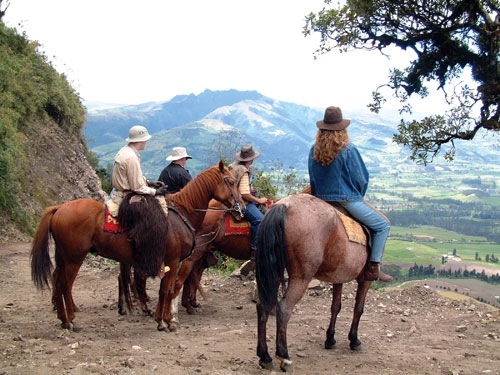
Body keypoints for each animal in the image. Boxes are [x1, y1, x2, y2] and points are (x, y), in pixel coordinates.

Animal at [29, 162, 244, 332]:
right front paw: (167, 322)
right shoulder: (173, 261)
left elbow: (163, 290)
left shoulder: (166, 263)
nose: (240, 207)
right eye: (230, 181)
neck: (182, 212)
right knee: (66, 285)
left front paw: (161, 320)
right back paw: (72, 320)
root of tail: (59, 208)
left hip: (63, 257)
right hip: (74, 258)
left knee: (58, 281)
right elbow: (167, 290)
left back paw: (63, 319)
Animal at [256, 194, 374, 374]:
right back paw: (284, 357)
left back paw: (265, 356)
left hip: (272, 272)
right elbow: (358, 309)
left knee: (264, 306)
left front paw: (330, 339)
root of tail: (284, 205)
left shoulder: (337, 277)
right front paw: (354, 340)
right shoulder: (365, 280)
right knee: (283, 308)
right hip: (301, 276)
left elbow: (335, 307)